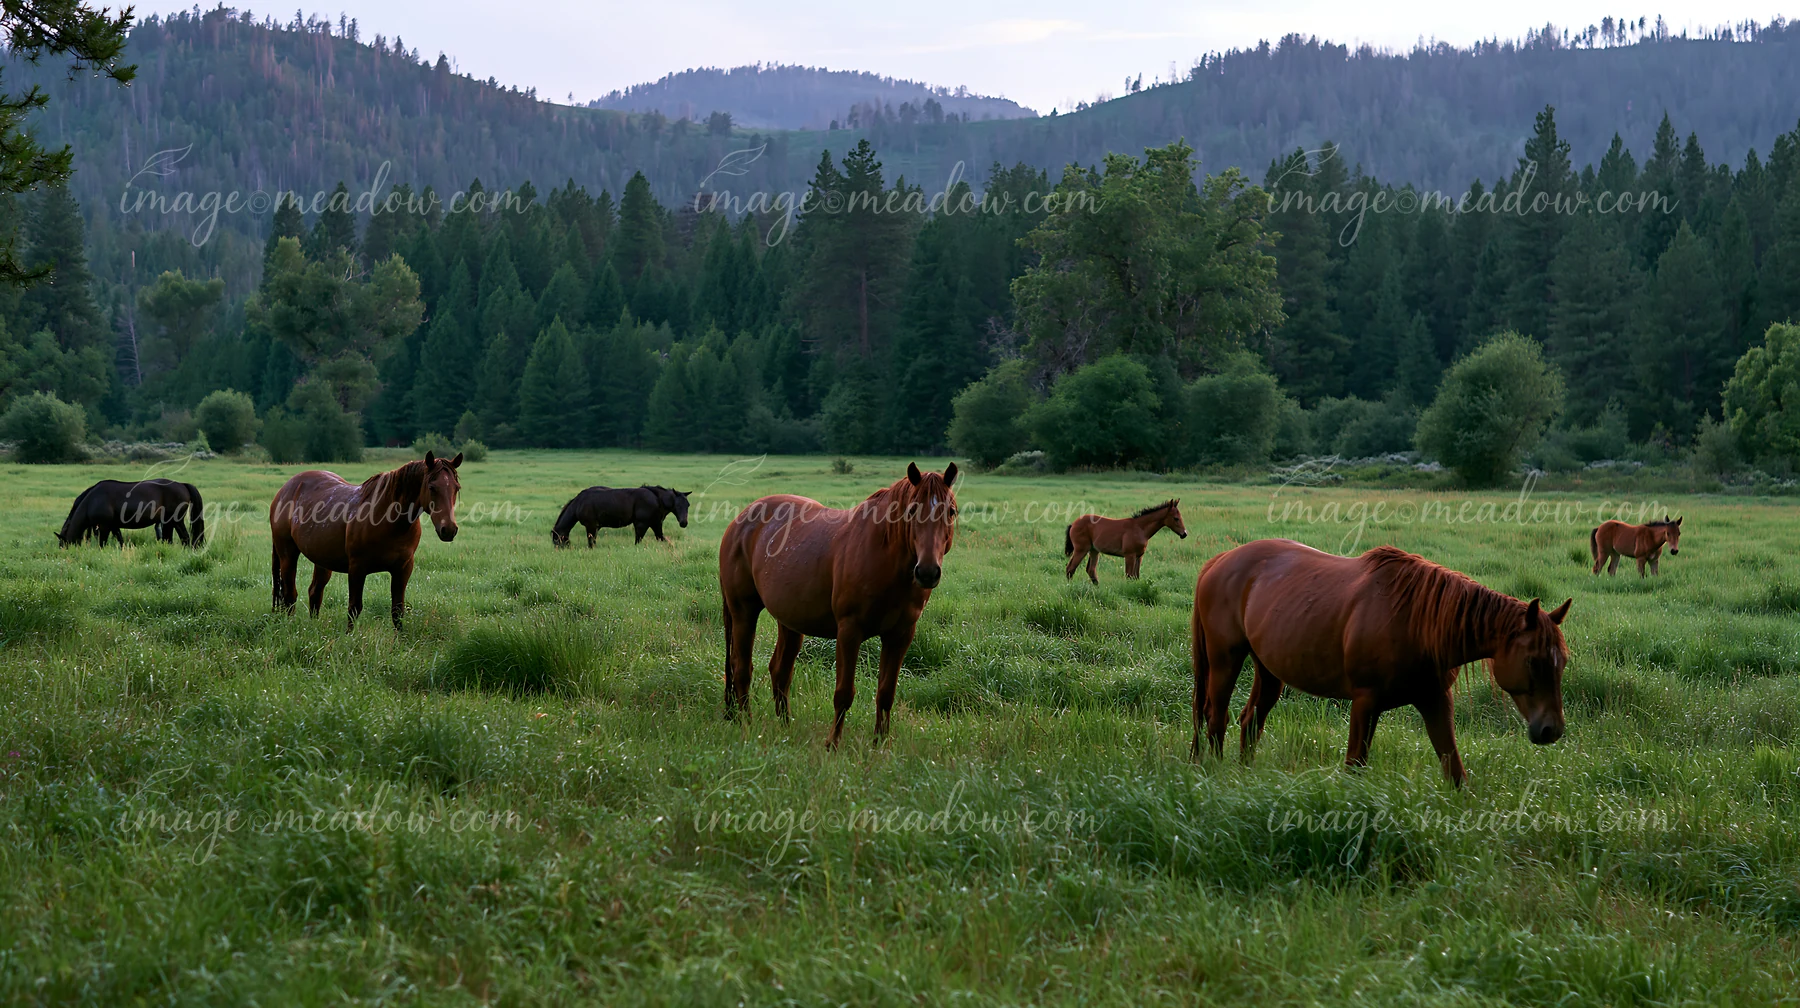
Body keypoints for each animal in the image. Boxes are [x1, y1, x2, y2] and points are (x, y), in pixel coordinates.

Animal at [56, 479, 204, 548]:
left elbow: (102, 543)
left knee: (184, 538)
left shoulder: (104, 526)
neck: (92, 500)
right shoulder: (113, 526)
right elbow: (120, 540)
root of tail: (182, 484)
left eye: (62, 544)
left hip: (174, 520)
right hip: (171, 522)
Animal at [269, 452, 463, 630]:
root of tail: (285, 489)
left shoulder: (403, 568)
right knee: (290, 595)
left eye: (456, 488)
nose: (449, 529)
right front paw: (349, 638)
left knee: (315, 592)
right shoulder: (357, 568)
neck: (387, 519)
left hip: (322, 559)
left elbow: (397, 611)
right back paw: (290, 628)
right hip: (287, 554)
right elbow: (354, 608)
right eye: (432, 487)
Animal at [551, 485, 691, 547]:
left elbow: (591, 544)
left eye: (556, 539)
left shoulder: (590, 526)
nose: (684, 522)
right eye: (678, 505)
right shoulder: (595, 527)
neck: (579, 503)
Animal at [718, 462, 958, 747]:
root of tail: (739, 521)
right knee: (741, 668)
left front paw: (880, 745)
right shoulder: (849, 631)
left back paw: (785, 727)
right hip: (743, 611)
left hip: (790, 621)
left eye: (951, 511)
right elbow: (843, 693)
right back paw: (748, 724)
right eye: (912, 510)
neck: (884, 557)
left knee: (780, 672)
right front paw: (832, 744)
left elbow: (886, 693)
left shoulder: (900, 636)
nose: (928, 572)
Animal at [1191, 539, 1570, 786]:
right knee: (1216, 717)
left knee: (1250, 720)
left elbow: (1454, 770)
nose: (1551, 730)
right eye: (1534, 661)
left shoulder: (1434, 700)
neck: (1418, 623)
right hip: (1225, 659)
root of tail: (1219, 561)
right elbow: (1354, 766)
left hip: (1269, 669)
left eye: (1562, 662)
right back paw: (1217, 775)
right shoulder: (1365, 702)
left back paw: (1245, 776)